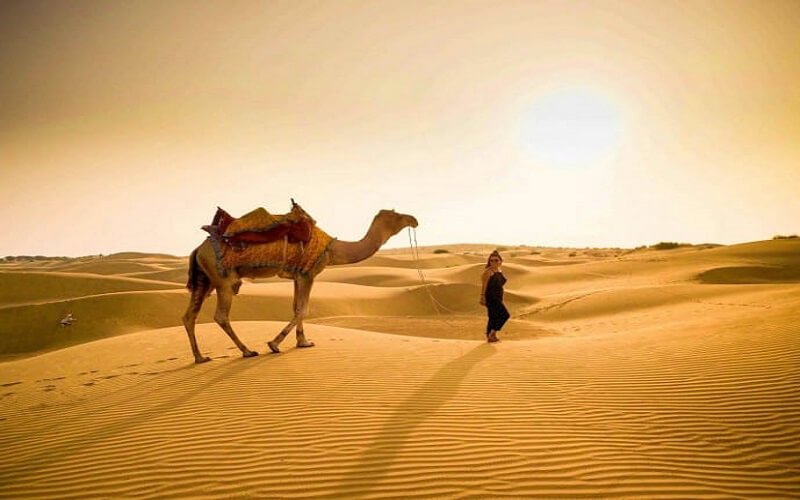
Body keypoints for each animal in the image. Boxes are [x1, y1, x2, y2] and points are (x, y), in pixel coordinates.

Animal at [182, 208, 418, 363]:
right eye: (397, 215)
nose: (414, 219)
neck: (332, 249)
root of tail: (197, 249)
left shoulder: (297, 275)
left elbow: (296, 307)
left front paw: (302, 341)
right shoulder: (308, 273)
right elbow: (303, 309)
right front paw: (275, 344)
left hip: (205, 280)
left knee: (189, 316)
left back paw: (200, 357)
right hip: (223, 280)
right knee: (221, 315)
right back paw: (247, 351)